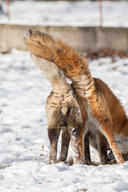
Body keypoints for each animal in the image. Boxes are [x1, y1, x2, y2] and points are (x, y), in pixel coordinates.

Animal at [23, 29, 128, 164]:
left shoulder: (87, 134)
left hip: (59, 127)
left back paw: (57, 163)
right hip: (99, 122)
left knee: (60, 150)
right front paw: (104, 162)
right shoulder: (99, 133)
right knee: (98, 149)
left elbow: (85, 151)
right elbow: (104, 152)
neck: (122, 124)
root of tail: (64, 90)